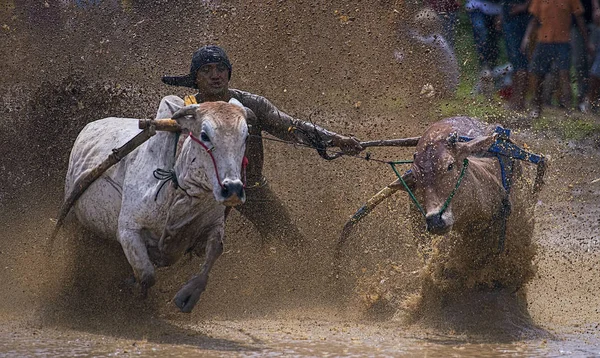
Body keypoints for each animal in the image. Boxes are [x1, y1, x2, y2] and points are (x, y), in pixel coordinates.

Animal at [62, 98, 246, 314]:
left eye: (245, 136)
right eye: (204, 135)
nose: (232, 188)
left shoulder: (213, 225)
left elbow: (214, 251)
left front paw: (189, 294)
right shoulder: (128, 230)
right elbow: (147, 275)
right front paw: (132, 293)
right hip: (71, 212)